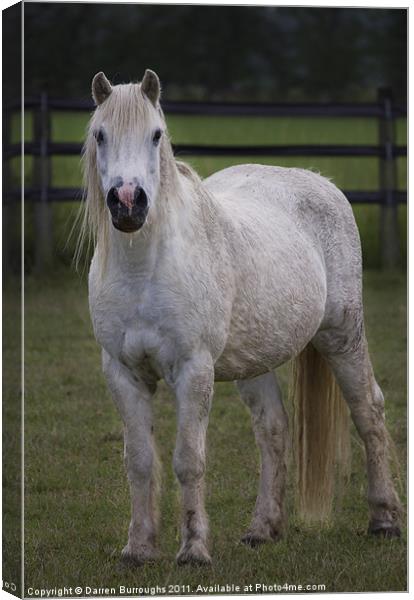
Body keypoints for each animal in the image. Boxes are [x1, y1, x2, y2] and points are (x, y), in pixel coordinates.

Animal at [77, 70, 402, 568]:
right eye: (100, 134)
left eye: (156, 135)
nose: (128, 203)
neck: (144, 269)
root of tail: (321, 182)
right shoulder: (123, 372)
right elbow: (140, 461)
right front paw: (138, 549)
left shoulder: (193, 370)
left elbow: (188, 459)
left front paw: (193, 550)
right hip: (257, 361)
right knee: (273, 431)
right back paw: (262, 530)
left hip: (342, 335)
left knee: (369, 411)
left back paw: (384, 521)